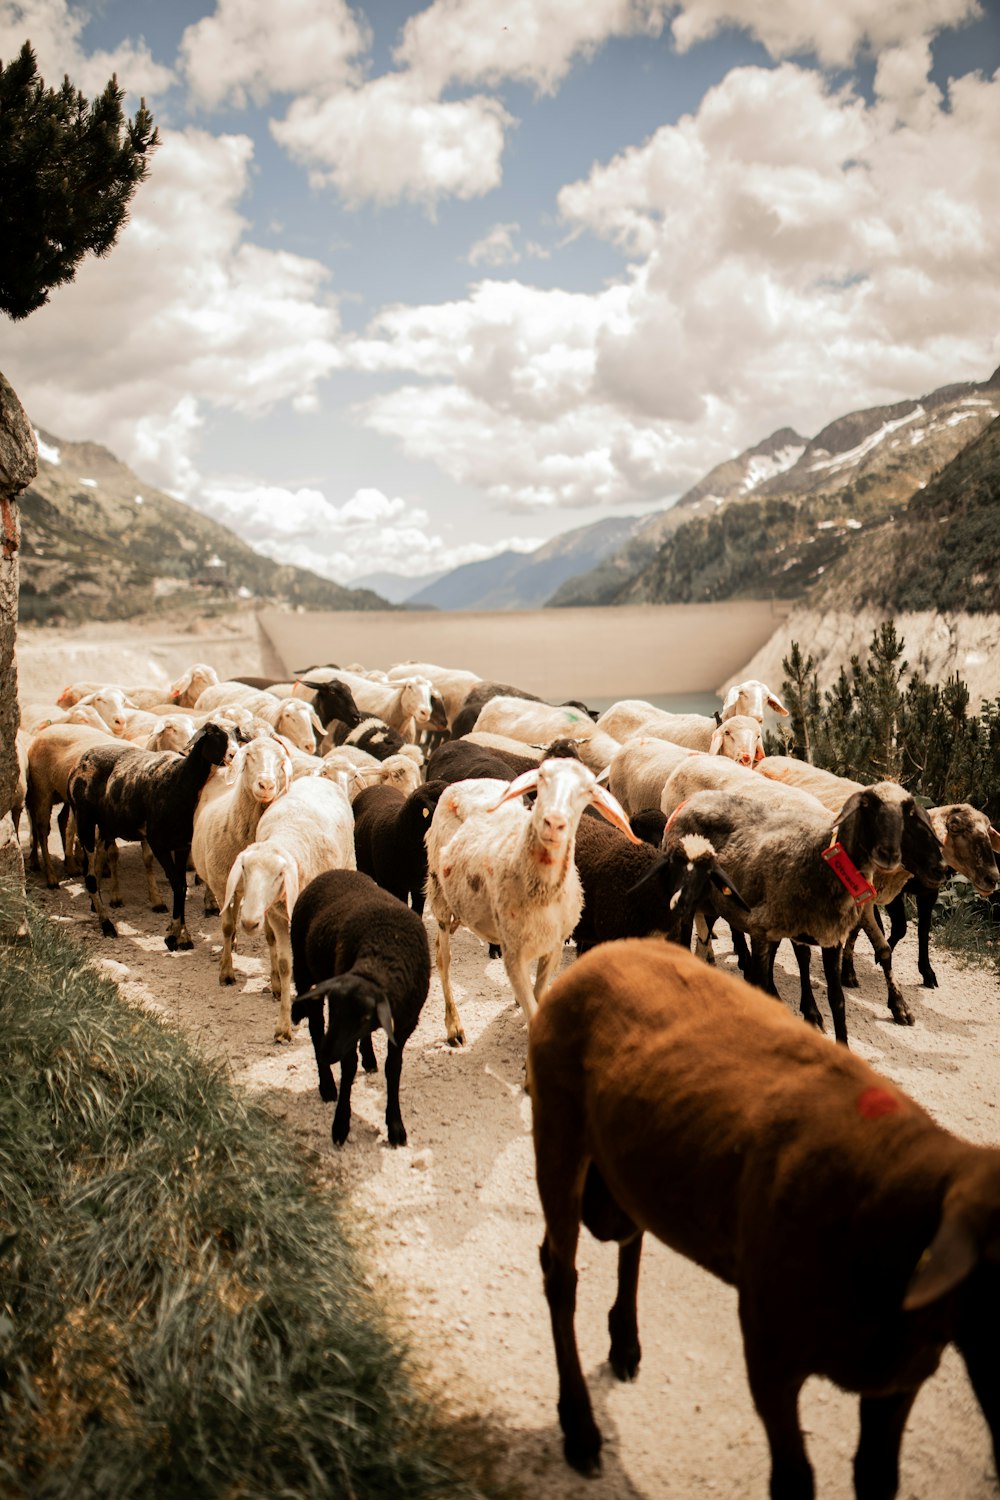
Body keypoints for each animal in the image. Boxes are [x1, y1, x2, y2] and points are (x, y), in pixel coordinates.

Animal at [67, 717, 239, 948]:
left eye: (238, 734)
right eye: (214, 734)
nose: (234, 754)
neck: (180, 780)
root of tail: (81, 761)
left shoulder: (182, 844)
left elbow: (182, 885)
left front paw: (182, 935)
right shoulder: (159, 844)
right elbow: (177, 885)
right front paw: (174, 936)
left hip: (106, 827)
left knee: (92, 867)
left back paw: (97, 907)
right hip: (84, 819)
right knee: (91, 877)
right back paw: (107, 925)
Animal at [220, 774, 358, 1044]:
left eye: (278, 875)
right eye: (245, 869)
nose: (249, 923)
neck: (286, 835)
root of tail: (317, 777)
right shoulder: (276, 916)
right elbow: (285, 965)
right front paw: (283, 1026)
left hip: (349, 862)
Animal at [287, 870, 431, 1146]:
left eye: (365, 1016)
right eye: (334, 1009)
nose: (327, 1053)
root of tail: (330, 872)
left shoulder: (405, 1025)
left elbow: (393, 1069)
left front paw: (395, 1126)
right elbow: (348, 1066)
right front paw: (341, 1125)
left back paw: (368, 1058)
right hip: (303, 968)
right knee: (316, 1028)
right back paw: (327, 1085)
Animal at [425, 762, 638, 1044]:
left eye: (588, 790)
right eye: (541, 776)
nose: (554, 822)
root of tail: (467, 782)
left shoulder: (554, 945)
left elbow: (538, 993)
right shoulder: (513, 954)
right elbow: (532, 1008)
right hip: (439, 894)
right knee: (443, 957)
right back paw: (453, 1026)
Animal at [536, 936, 1000, 1488]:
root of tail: (615, 947)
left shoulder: (895, 1384)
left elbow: (877, 1477)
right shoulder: (769, 1352)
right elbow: (794, 1478)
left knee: (628, 1234)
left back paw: (625, 1344)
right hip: (559, 1134)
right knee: (560, 1275)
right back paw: (580, 1427)